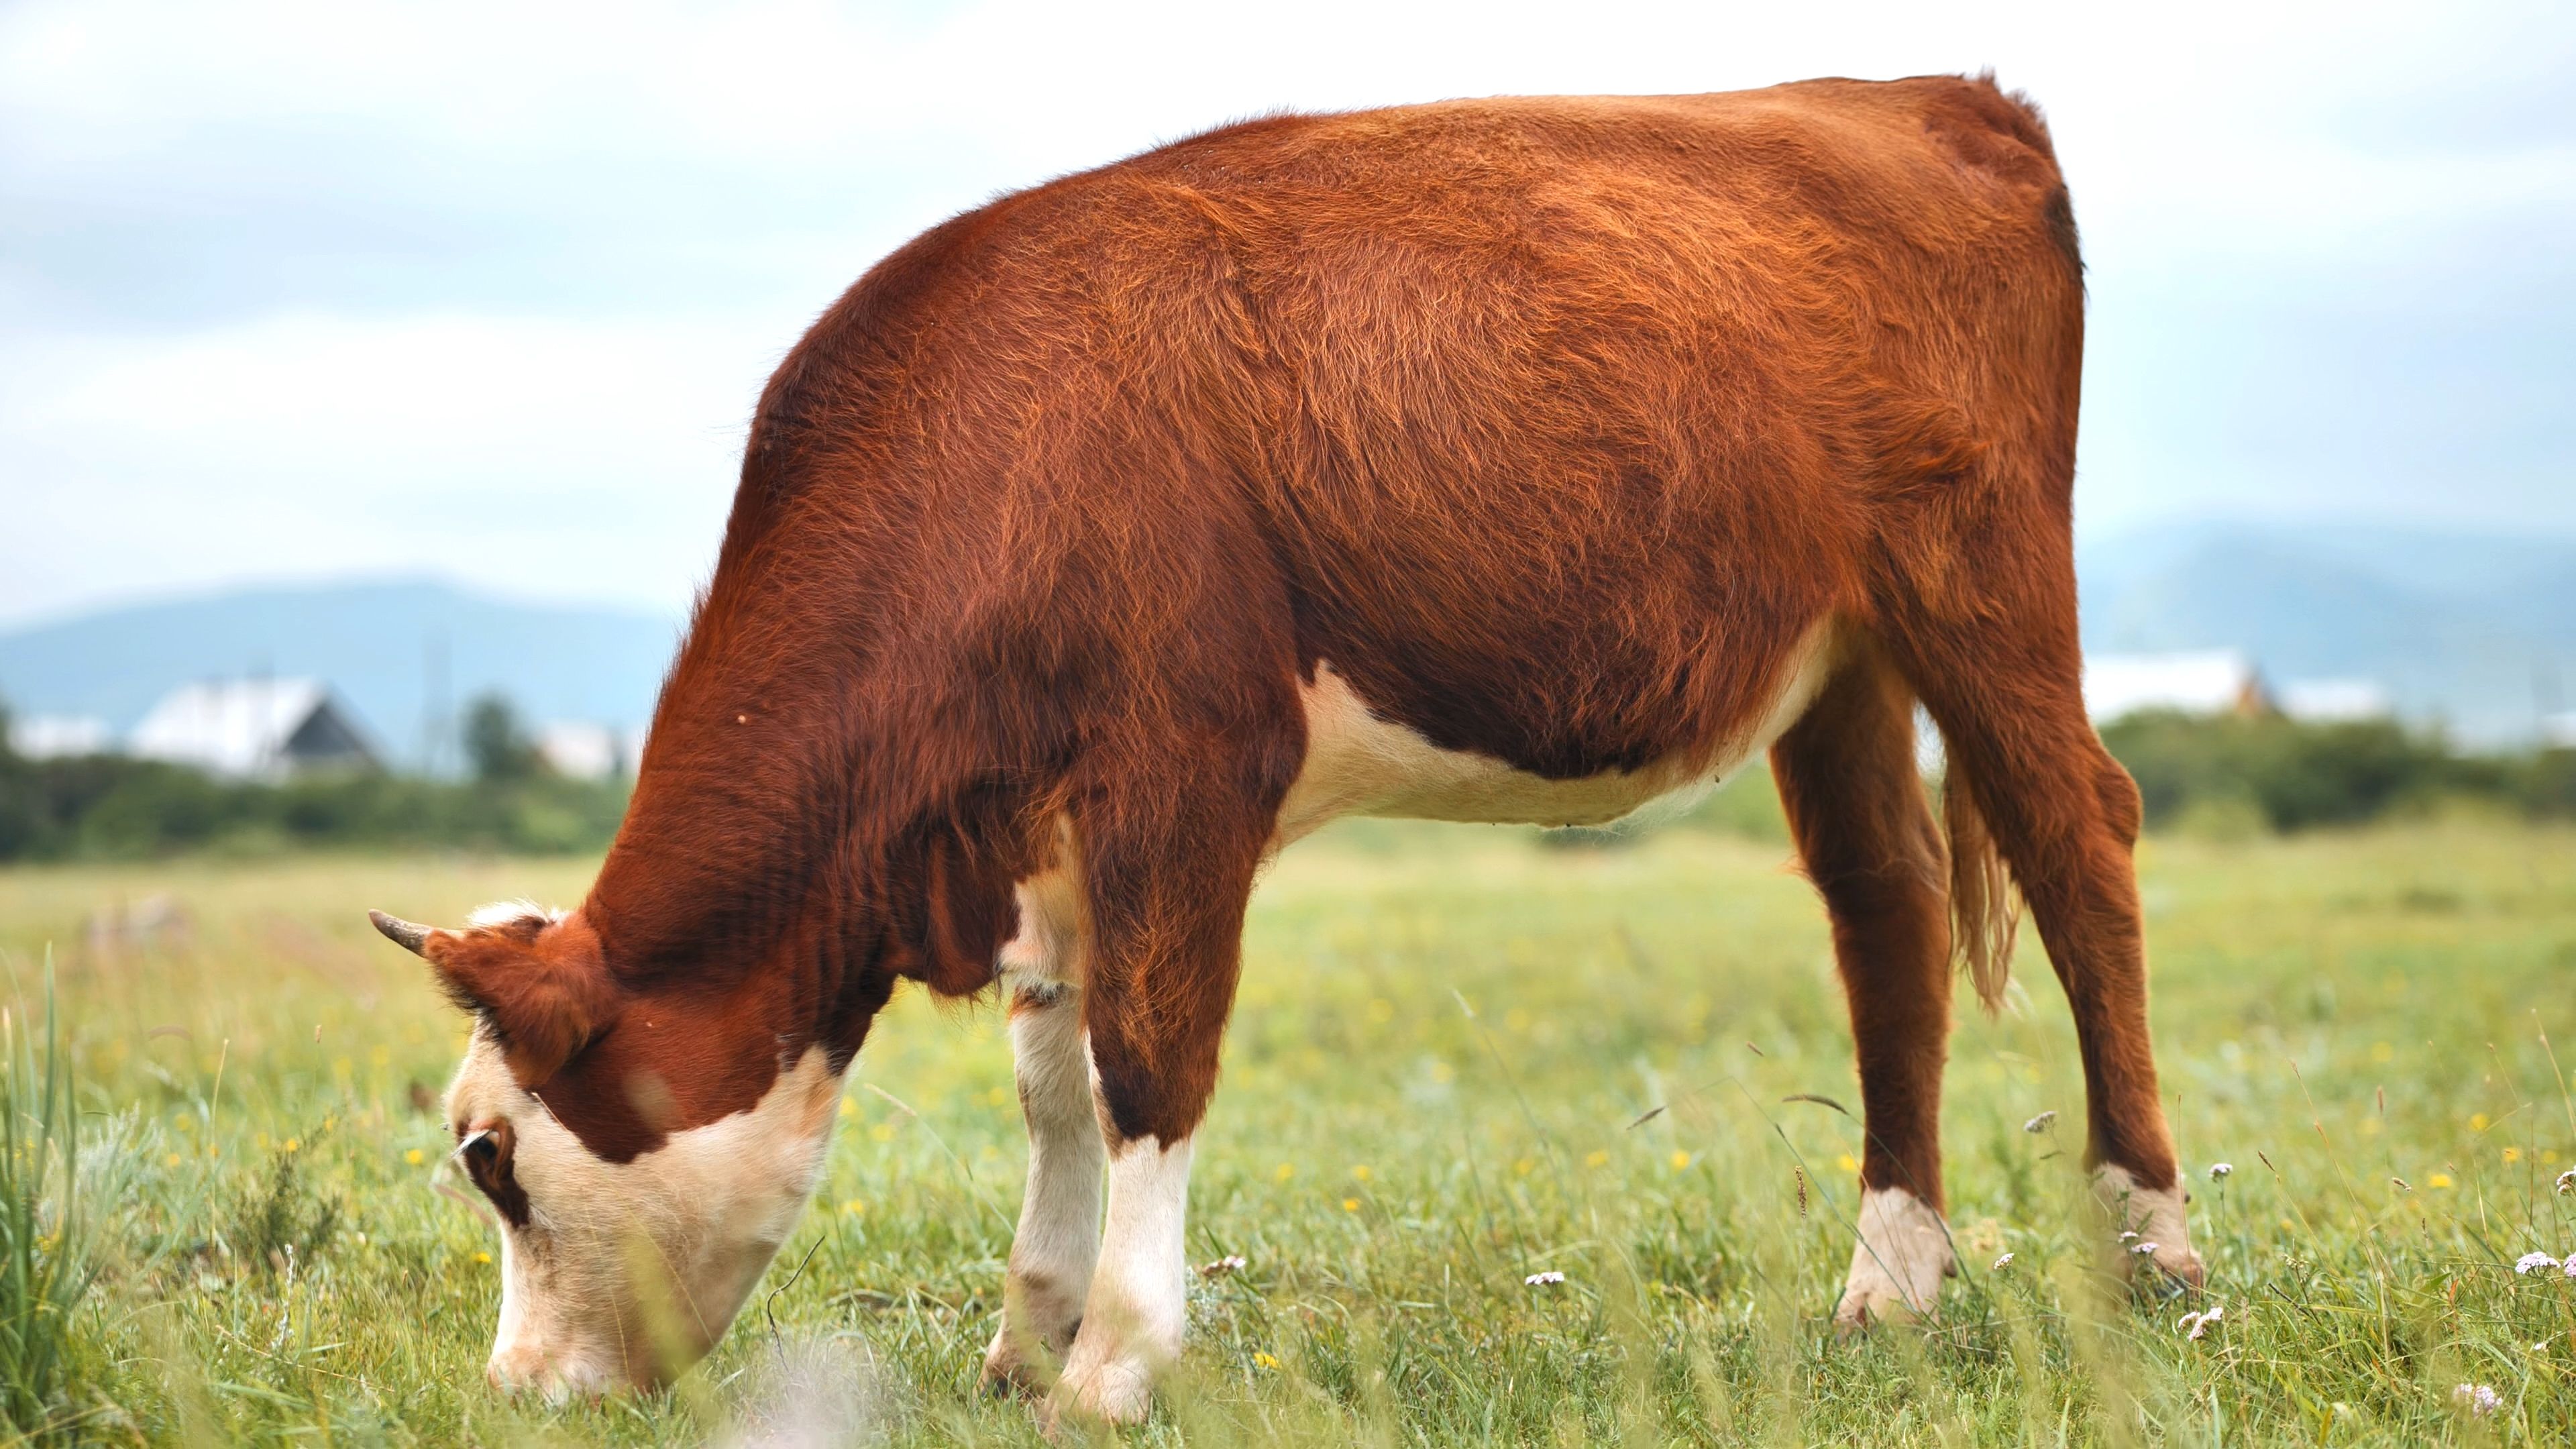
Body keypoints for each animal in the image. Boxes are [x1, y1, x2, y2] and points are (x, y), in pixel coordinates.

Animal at [367, 72, 2201, 1422]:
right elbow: (1051, 1082)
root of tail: (1921, 93)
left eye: (493, 1160)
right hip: (1836, 655)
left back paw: (2154, 1244)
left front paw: (1114, 1364)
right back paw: (1888, 1285)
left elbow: (1147, 1062)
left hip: (1981, 587)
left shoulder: (1184, 770)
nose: (513, 1392)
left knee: (2079, 845)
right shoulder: (1043, 827)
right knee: (1886, 911)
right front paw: (1025, 1337)